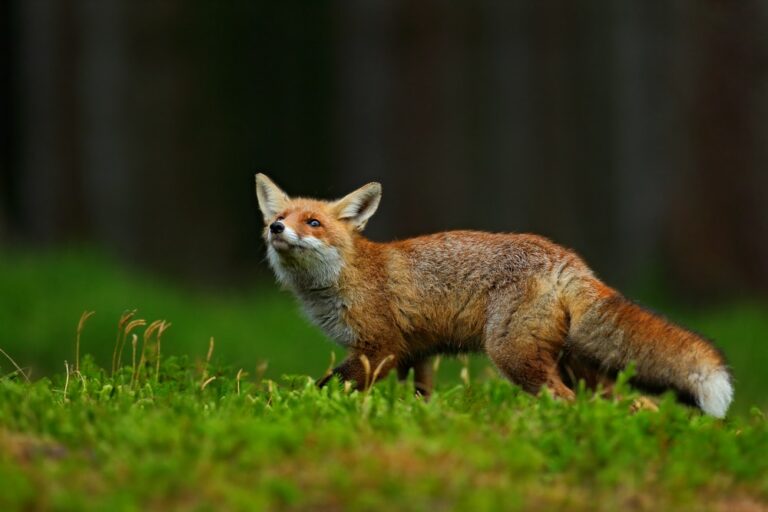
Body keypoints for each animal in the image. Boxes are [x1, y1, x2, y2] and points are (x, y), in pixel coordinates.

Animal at [255, 173, 734, 418]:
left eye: (313, 222)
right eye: (280, 217)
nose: (276, 228)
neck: (346, 277)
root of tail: (568, 258)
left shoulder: (380, 347)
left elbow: (328, 385)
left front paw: (289, 405)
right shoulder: (415, 353)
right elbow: (421, 398)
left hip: (513, 355)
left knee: (566, 402)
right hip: (579, 368)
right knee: (634, 404)